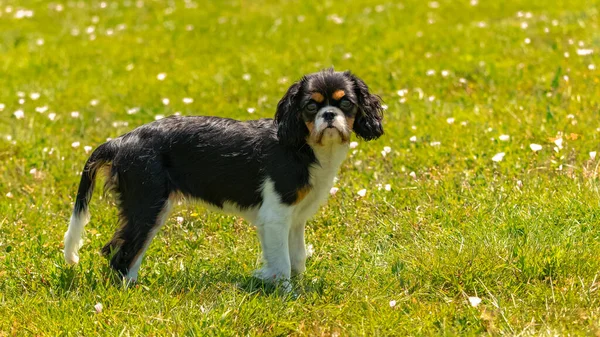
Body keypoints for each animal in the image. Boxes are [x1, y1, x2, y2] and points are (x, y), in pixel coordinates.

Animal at [64, 69, 384, 288]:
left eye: (346, 104)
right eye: (310, 107)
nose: (329, 115)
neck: (303, 146)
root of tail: (120, 141)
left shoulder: (296, 219)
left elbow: (297, 257)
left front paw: (297, 285)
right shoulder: (275, 216)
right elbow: (281, 263)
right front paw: (286, 293)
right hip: (148, 205)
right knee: (122, 253)